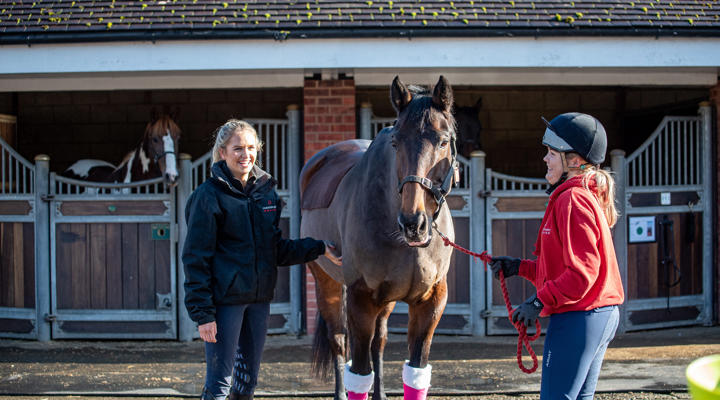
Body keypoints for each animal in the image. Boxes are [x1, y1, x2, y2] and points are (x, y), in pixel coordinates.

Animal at [300, 76, 458, 400]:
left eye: (443, 141)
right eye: (396, 142)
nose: (413, 223)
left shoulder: (431, 301)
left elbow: (415, 370)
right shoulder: (360, 299)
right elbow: (359, 371)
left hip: (385, 301)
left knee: (379, 341)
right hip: (326, 283)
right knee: (338, 341)